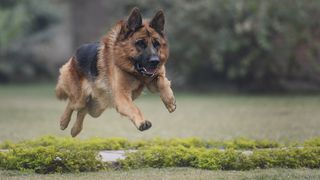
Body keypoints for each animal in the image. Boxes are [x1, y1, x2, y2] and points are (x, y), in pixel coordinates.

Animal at [55, 7, 175, 136]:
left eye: (156, 44)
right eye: (140, 43)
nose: (155, 61)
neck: (136, 73)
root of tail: (74, 55)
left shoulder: (153, 79)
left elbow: (162, 80)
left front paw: (169, 101)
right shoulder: (122, 97)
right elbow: (134, 108)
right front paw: (142, 122)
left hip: (96, 108)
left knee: (83, 110)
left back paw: (75, 129)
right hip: (80, 99)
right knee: (72, 103)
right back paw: (63, 121)